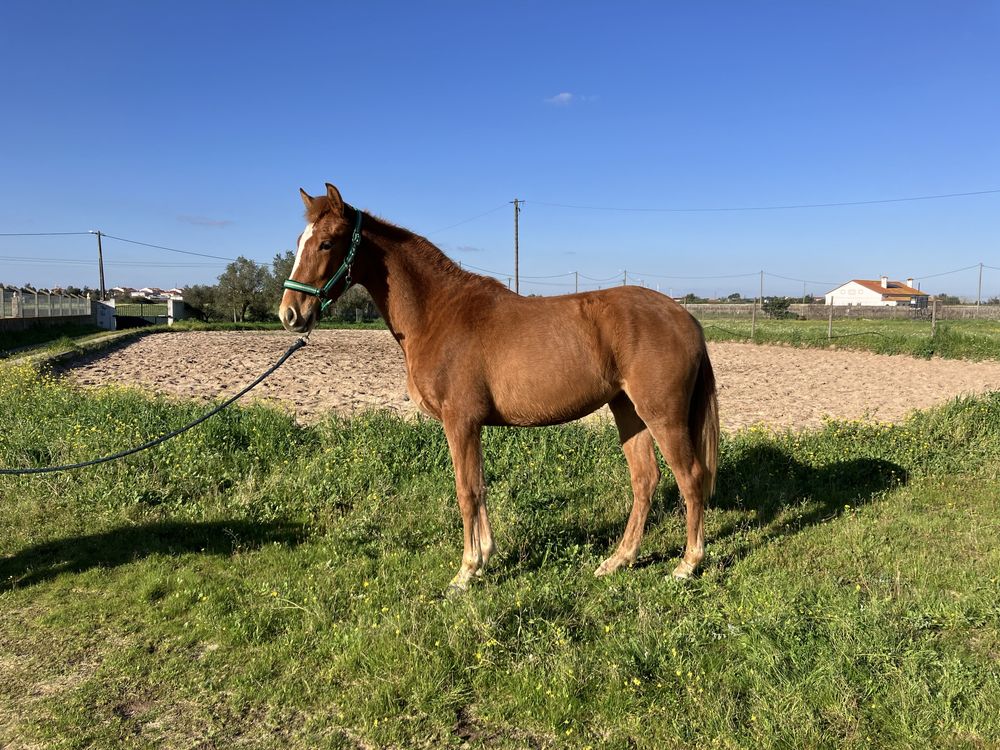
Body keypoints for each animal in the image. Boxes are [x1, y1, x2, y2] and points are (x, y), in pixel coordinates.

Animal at [280, 184, 720, 592]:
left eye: (326, 242)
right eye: (300, 241)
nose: (289, 314)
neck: (437, 313)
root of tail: (684, 317)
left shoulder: (460, 422)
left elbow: (467, 491)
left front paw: (466, 572)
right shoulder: (470, 426)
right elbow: (479, 487)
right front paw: (484, 558)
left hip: (663, 416)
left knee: (691, 477)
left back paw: (687, 564)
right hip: (628, 410)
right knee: (645, 480)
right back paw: (619, 560)